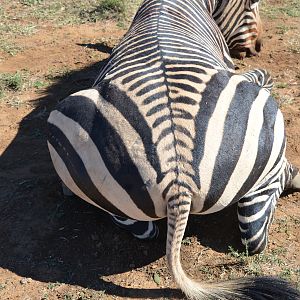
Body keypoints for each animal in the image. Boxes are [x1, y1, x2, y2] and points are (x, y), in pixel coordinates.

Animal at [46, 0, 300, 298]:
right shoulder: (238, 68)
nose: (257, 48)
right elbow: (264, 73)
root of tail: (178, 180)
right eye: (252, 6)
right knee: (257, 232)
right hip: (268, 133)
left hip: (72, 127)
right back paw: (296, 177)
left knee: (145, 230)